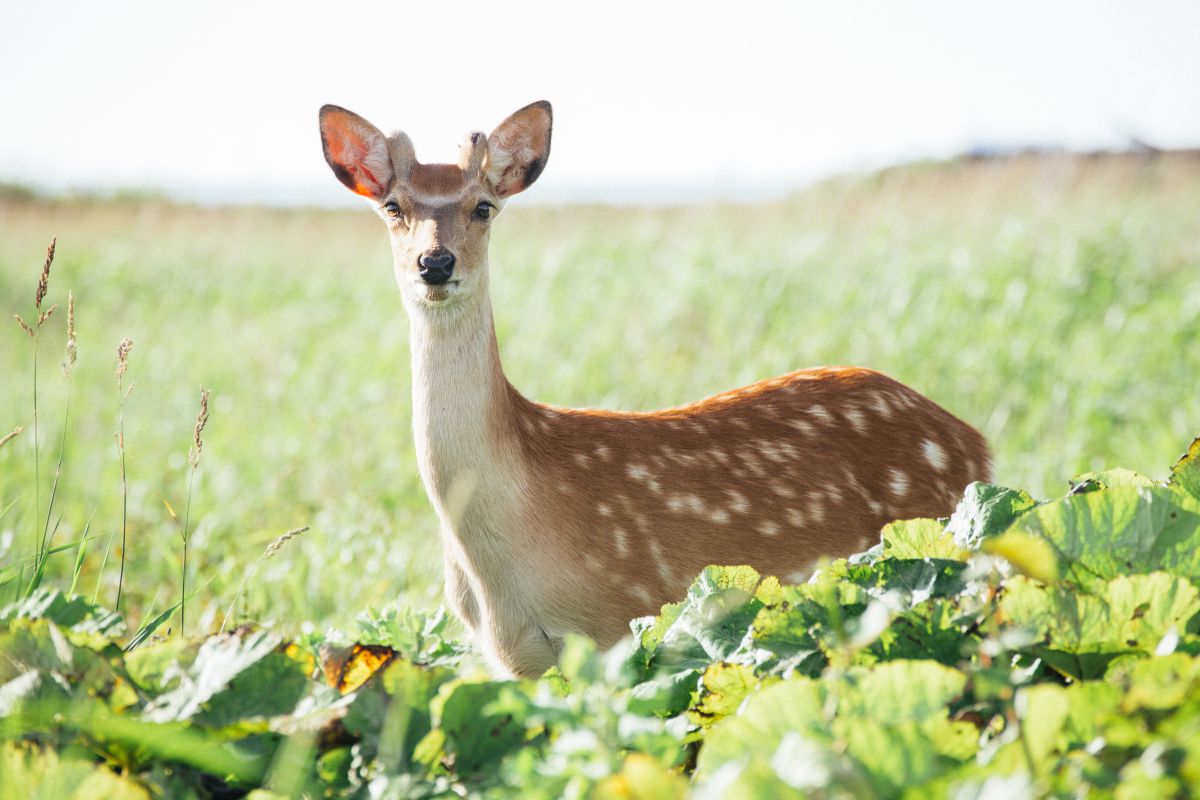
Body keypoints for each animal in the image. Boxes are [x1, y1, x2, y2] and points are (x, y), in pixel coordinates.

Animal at [317, 100, 992, 678]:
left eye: (483, 206)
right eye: (393, 207)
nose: (435, 263)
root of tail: (976, 444)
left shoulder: (620, 620)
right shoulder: (513, 661)